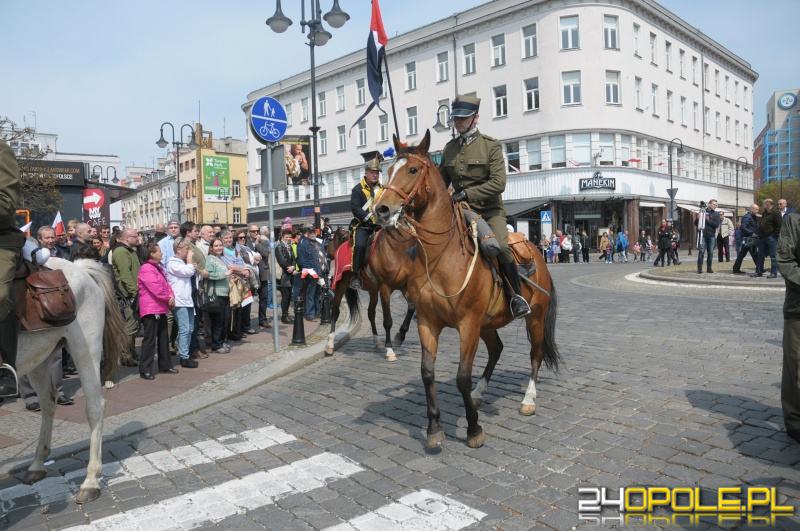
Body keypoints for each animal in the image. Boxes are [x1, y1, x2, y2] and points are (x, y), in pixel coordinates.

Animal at [10, 258, 125, 508]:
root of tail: (80, 266)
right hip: (39, 357)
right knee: (48, 402)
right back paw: (37, 464)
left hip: (85, 349)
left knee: (94, 407)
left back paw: (90, 481)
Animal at [324, 227, 416, 360]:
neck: (396, 248)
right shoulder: (385, 289)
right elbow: (387, 321)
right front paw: (389, 350)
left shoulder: (404, 286)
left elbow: (412, 307)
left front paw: (400, 336)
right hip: (341, 284)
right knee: (335, 311)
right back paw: (330, 345)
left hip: (372, 290)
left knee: (371, 313)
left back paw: (376, 341)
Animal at [372, 132, 560, 448]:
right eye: (388, 172)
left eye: (412, 170)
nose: (381, 209)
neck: (441, 257)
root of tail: (537, 251)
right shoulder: (428, 322)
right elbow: (427, 373)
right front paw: (434, 428)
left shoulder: (468, 324)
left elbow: (462, 376)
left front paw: (473, 429)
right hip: (488, 324)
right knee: (497, 350)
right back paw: (479, 394)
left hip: (534, 317)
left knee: (535, 354)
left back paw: (528, 399)